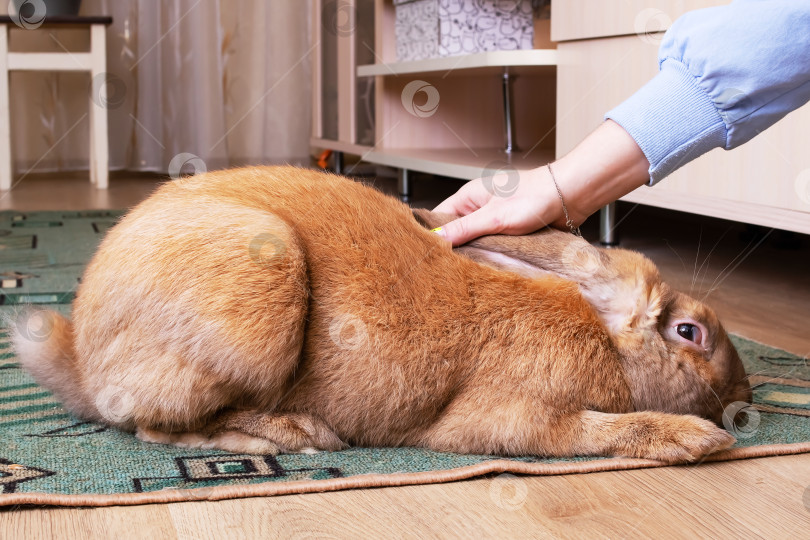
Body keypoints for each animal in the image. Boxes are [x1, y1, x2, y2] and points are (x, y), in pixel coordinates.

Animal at [14, 167, 752, 462]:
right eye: (690, 333)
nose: (746, 395)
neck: (600, 333)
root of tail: (83, 356)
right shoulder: (521, 417)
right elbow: (592, 432)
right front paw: (696, 441)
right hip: (256, 305)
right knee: (156, 425)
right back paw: (291, 438)